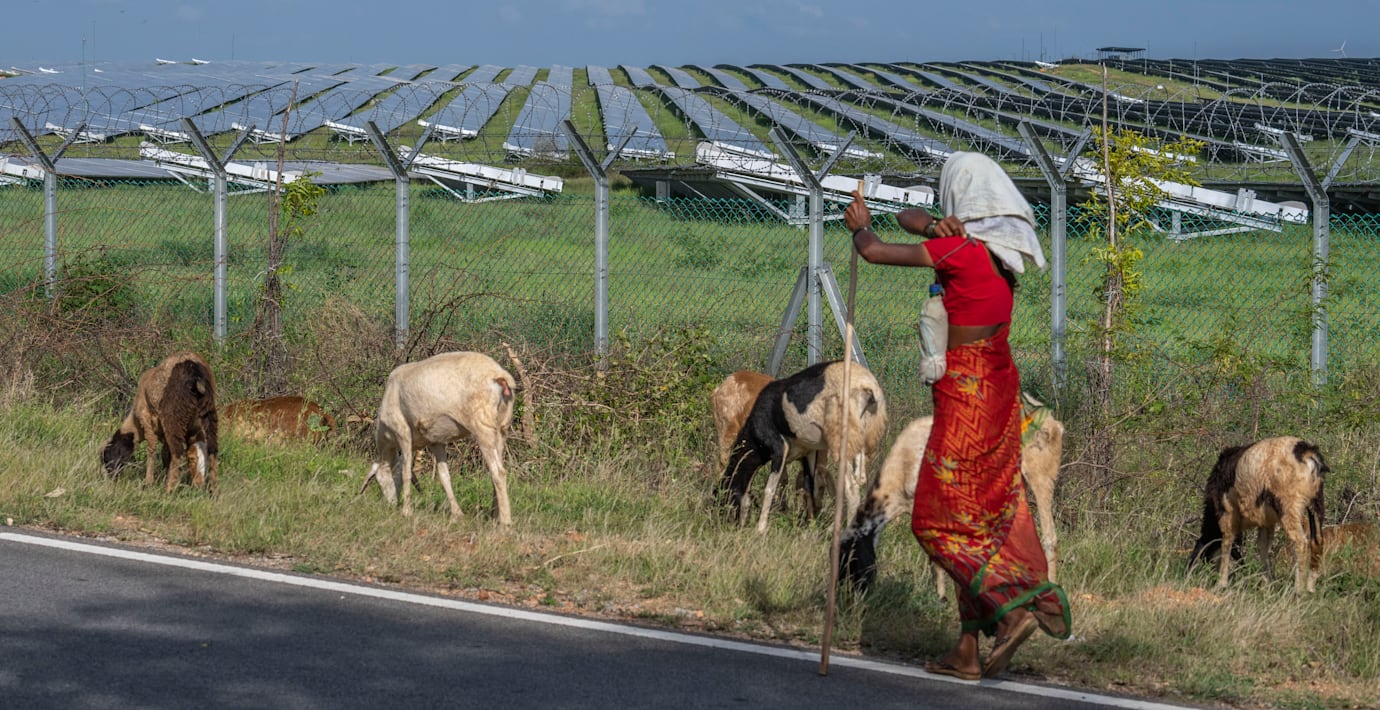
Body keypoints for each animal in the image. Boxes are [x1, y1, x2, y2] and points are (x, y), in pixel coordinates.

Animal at [101, 351, 220, 493]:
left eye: (107, 456)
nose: (111, 477)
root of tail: (195, 372)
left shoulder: (146, 419)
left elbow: (152, 449)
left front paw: (149, 482)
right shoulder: (192, 429)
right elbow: (172, 454)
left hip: (172, 416)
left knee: (178, 453)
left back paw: (169, 490)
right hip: (208, 413)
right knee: (212, 450)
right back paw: (213, 491)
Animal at [360, 351, 516, 524]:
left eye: (378, 481)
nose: (390, 505)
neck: (387, 437)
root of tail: (499, 375)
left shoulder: (402, 432)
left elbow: (406, 471)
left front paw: (407, 511)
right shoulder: (436, 441)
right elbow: (444, 476)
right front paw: (457, 513)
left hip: (482, 425)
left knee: (498, 472)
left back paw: (505, 521)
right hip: (502, 426)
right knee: (499, 468)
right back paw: (495, 515)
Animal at [716, 360, 887, 532]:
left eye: (725, 496)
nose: (726, 525)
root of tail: (868, 386)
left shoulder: (779, 448)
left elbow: (770, 489)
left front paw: (760, 529)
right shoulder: (808, 453)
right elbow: (808, 487)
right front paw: (810, 525)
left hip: (840, 443)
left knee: (851, 490)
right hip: (860, 441)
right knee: (860, 480)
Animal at [839, 394, 1064, 596]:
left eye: (850, 560)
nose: (848, 596)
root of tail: (1054, 423)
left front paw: (940, 596)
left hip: (1039, 475)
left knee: (1050, 536)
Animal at [1187, 437, 1327, 594]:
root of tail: (1306, 452)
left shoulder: (1227, 514)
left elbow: (1226, 543)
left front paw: (1221, 584)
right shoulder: (1266, 522)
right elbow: (1263, 547)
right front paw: (1267, 585)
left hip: (1289, 507)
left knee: (1301, 542)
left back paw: (1298, 591)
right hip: (1316, 503)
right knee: (1317, 541)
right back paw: (1310, 589)